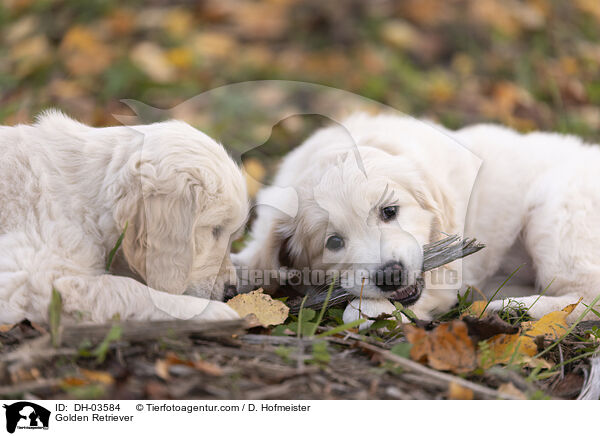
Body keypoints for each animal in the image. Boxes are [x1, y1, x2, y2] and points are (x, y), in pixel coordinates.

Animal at [234, 112, 600, 328]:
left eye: (389, 212)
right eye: (333, 242)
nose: (391, 276)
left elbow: (366, 308)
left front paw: (370, 313)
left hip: (558, 212)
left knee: (587, 293)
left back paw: (513, 309)